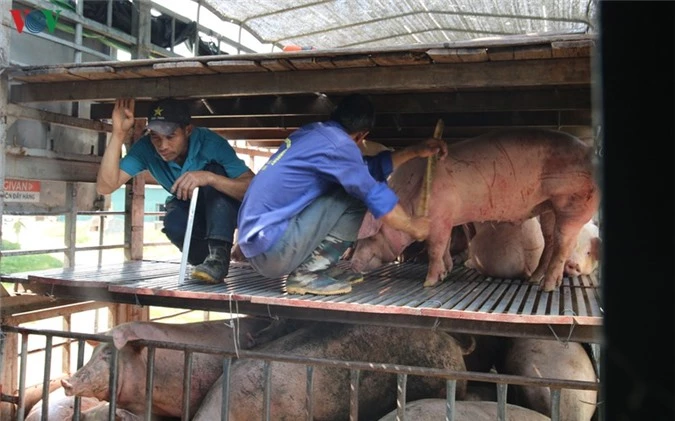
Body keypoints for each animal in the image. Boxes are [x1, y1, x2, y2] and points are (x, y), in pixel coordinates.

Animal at [352, 130, 600, 290]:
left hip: (574, 204)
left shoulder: (440, 216)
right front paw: (445, 273)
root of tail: (589, 152)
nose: (353, 263)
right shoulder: (448, 219)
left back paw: (547, 287)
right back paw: (534, 280)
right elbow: (444, 247)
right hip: (548, 206)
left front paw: (429, 282)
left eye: (371, 237)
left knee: (562, 244)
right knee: (549, 241)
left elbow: (435, 249)